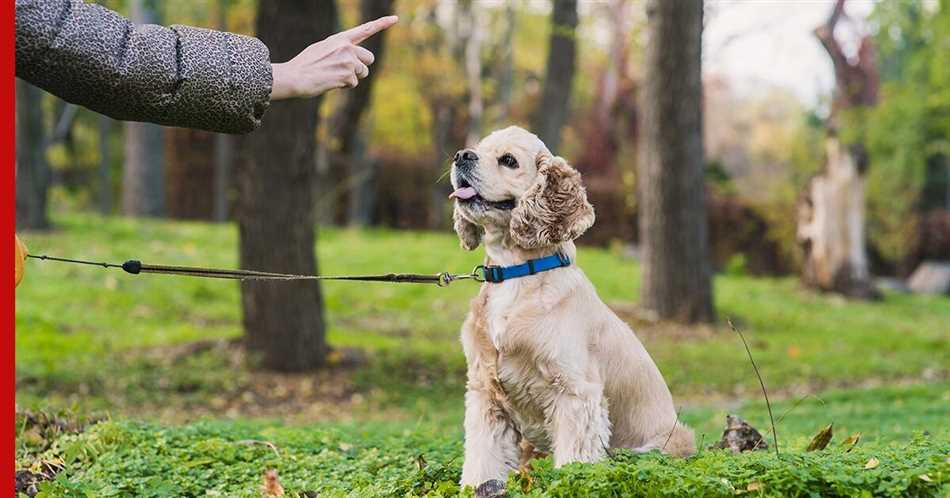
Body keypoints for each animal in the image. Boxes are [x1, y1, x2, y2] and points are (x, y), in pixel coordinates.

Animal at [450, 126, 696, 488]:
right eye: (478, 148)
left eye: (508, 160)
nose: (461, 155)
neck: (515, 274)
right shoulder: (485, 393)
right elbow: (483, 459)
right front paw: (479, 488)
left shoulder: (576, 394)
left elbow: (574, 462)